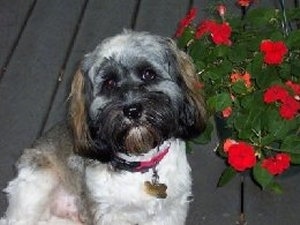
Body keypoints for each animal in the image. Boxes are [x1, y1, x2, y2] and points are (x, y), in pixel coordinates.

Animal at [0, 30, 206, 225]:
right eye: (109, 83)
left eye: (148, 74)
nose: (132, 110)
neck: (140, 162)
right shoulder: (108, 214)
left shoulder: (169, 211)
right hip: (38, 184)